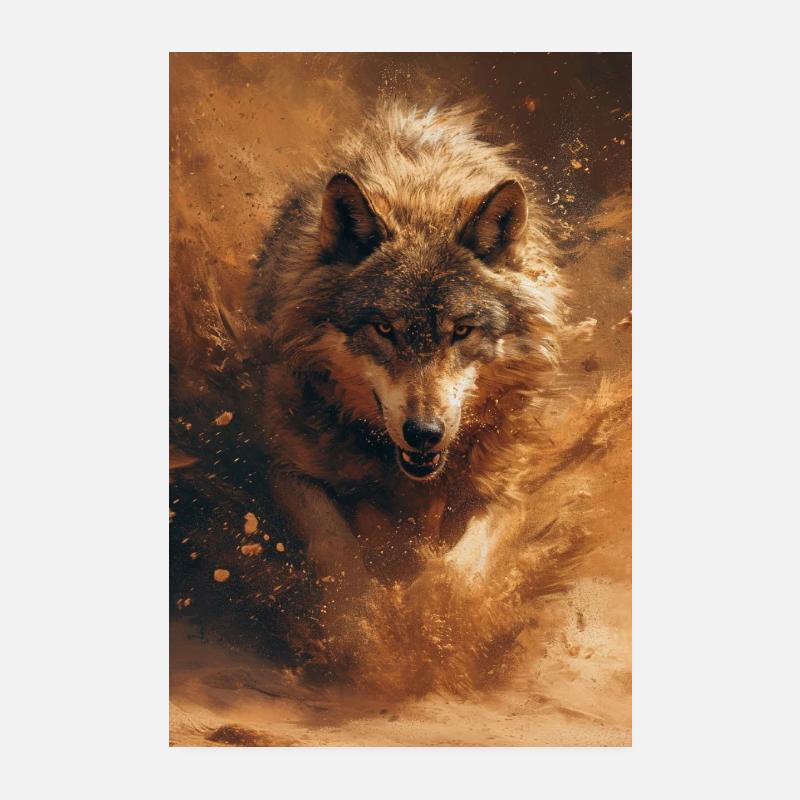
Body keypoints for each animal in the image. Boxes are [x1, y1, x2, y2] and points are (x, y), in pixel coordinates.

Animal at [245, 103, 566, 595]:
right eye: (384, 328)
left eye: (462, 330)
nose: (424, 433)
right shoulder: (288, 466)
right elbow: (337, 552)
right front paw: (367, 612)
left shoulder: (505, 488)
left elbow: (458, 571)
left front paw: (429, 605)